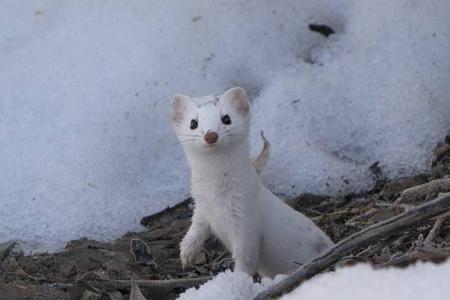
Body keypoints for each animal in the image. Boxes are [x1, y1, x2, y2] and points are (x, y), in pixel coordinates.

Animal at [171, 86, 332, 276]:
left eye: (226, 118)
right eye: (193, 123)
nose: (211, 135)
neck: (217, 197)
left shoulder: (247, 219)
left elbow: (246, 258)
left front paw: (235, 279)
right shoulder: (202, 206)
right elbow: (196, 227)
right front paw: (187, 253)